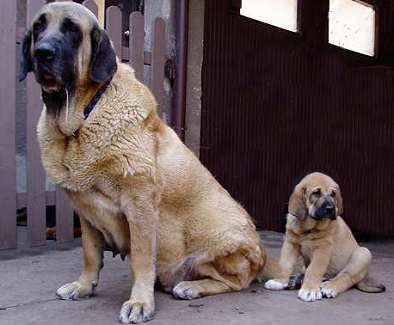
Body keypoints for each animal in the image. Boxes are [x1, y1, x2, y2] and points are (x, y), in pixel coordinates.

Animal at [18, 1, 278, 322]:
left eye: (72, 30)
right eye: (39, 27)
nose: (42, 52)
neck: (80, 120)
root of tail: (264, 254)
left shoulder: (139, 205)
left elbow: (141, 259)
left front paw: (140, 302)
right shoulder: (87, 211)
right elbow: (90, 254)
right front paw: (83, 286)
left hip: (219, 245)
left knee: (236, 281)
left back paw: (191, 287)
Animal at [264, 172, 384, 302]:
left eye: (333, 194)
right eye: (316, 193)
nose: (331, 209)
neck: (308, 228)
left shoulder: (323, 248)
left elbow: (314, 269)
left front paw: (310, 290)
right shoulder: (290, 243)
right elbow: (285, 264)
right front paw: (279, 281)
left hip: (362, 254)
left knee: (345, 277)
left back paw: (328, 287)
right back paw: (296, 281)